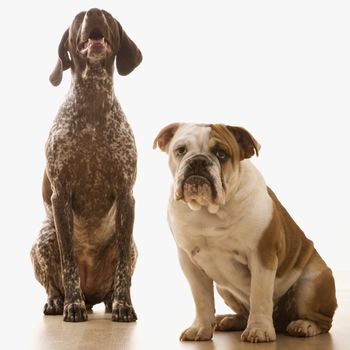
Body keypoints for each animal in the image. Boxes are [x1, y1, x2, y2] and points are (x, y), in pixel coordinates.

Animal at [30, 8, 142, 322]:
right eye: (80, 17)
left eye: (108, 16)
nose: (94, 12)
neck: (93, 99)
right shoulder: (61, 196)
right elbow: (68, 260)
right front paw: (73, 305)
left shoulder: (126, 195)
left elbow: (122, 272)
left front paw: (124, 305)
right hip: (42, 240)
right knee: (52, 285)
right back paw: (58, 302)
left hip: (131, 244)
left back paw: (110, 301)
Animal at [153, 122, 336, 342]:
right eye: (180, 150)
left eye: (221, 154)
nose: (197, 160)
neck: (209, 211)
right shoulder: (190, 261)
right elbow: (202, 299)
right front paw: (201, 328)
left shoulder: (262, 256)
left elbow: (260, 295)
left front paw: (259, 330)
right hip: (224, 288)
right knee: (243, 311)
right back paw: (228, 320)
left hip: (312, 282)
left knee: (322, 321)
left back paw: (305, 325)